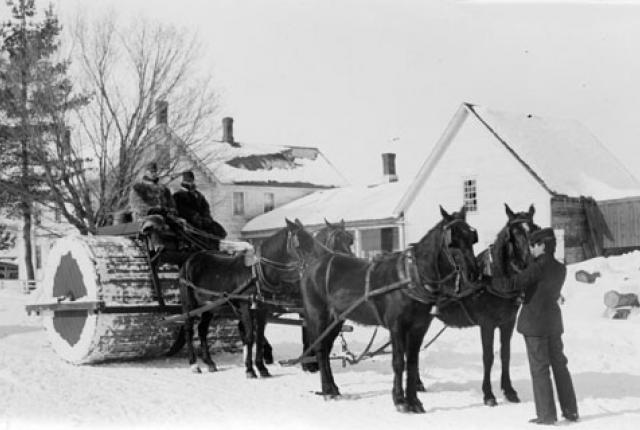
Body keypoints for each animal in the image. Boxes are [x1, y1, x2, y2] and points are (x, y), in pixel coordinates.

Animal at [178, 218, 352, 376]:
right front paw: (250, 369)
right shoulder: (246, 306)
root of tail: (190, 259)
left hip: (210, 306)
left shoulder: (262, 308)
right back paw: (194, 364)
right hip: (190, 304)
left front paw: (261, 368)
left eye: (350, 240)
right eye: (300, 243)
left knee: (202, 330)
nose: (348, 263)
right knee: (189, 329)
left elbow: (260, 336)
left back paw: (209, 362)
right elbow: (251, 336)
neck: (257, 273)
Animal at [286, 208, 480, 414]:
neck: (411, 277)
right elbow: (398, 362)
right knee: (321, 350)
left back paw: (332, 388)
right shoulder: (397, 327)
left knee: (326, 349)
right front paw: (400, 400)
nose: (474, 274)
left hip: (336, 319)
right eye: (452, 241)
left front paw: (414, 401)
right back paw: (327, 390)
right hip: (319, 315)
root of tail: (313, 266)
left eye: (472, 238)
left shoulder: (419, 328)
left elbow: (412, 363)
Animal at [432, 205, 536, 406]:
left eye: (535, 228)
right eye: (515, 233)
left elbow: (505, 354)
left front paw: (509, 391)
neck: (494, 279)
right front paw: (488, 394)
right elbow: (488, 357)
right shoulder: (486, 324)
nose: (530, 263)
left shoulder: (507, 323)